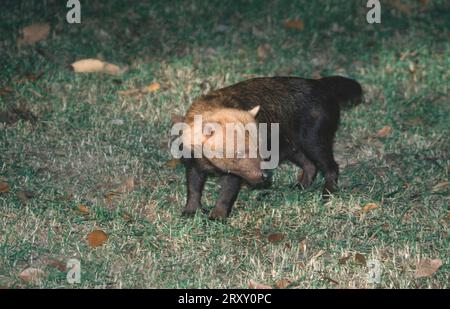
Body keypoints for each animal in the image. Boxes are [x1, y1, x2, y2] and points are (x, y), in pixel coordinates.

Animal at [176, 75, 362, 218]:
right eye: (238, 153)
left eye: (260, 148)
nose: (266, 176)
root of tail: (323, 85)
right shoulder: (193, 163)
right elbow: (193, 188)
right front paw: (190, 212)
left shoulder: (234, 175)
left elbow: (226, 194)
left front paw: (217, 217)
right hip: (293, 146)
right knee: (310, 165)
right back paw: (300, 186)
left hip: (315, 140)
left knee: (331, 166)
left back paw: (327, 193)